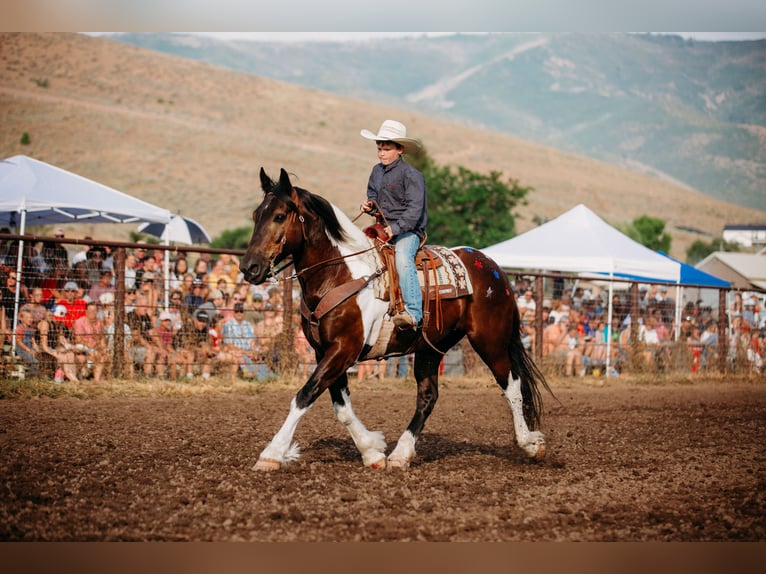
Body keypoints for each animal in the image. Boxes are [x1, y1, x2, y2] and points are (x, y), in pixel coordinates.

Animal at [240, 168, 552, 472]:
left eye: (280, 216)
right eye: (256, 215)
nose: (248, 267)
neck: (339, 274)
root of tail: (493, 267)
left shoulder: (343, 350)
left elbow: (304, 396)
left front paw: (271, 454)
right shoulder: (325, 352)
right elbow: (341, 407)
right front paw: (372, 451)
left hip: (490, 340)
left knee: (512, 386)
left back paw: (530, 444)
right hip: (431, 347)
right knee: (427, 397)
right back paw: (401, 454)